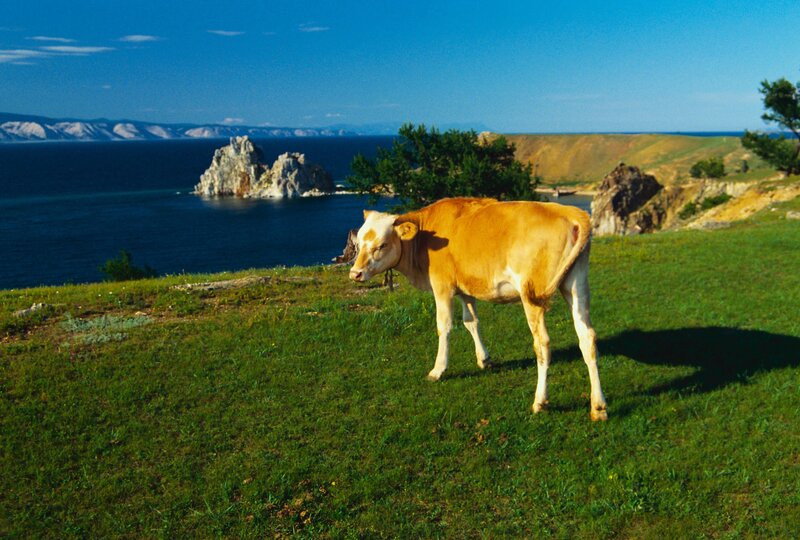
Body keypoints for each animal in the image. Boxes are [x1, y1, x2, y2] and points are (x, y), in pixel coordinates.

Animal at [349, 197, 608, 421]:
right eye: (358, 244)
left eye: (381, 245)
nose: (355, 273)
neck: (424, 238)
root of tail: (568, 211)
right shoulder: (466, 288)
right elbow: (470, 321)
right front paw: (484, 359)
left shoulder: (442, 285)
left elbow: (444, 326)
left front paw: (438, 369)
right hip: (576, 285)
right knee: (587, 338)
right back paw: (598, 406)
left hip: (531, 294)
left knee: (542, 344)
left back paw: (540, 401)